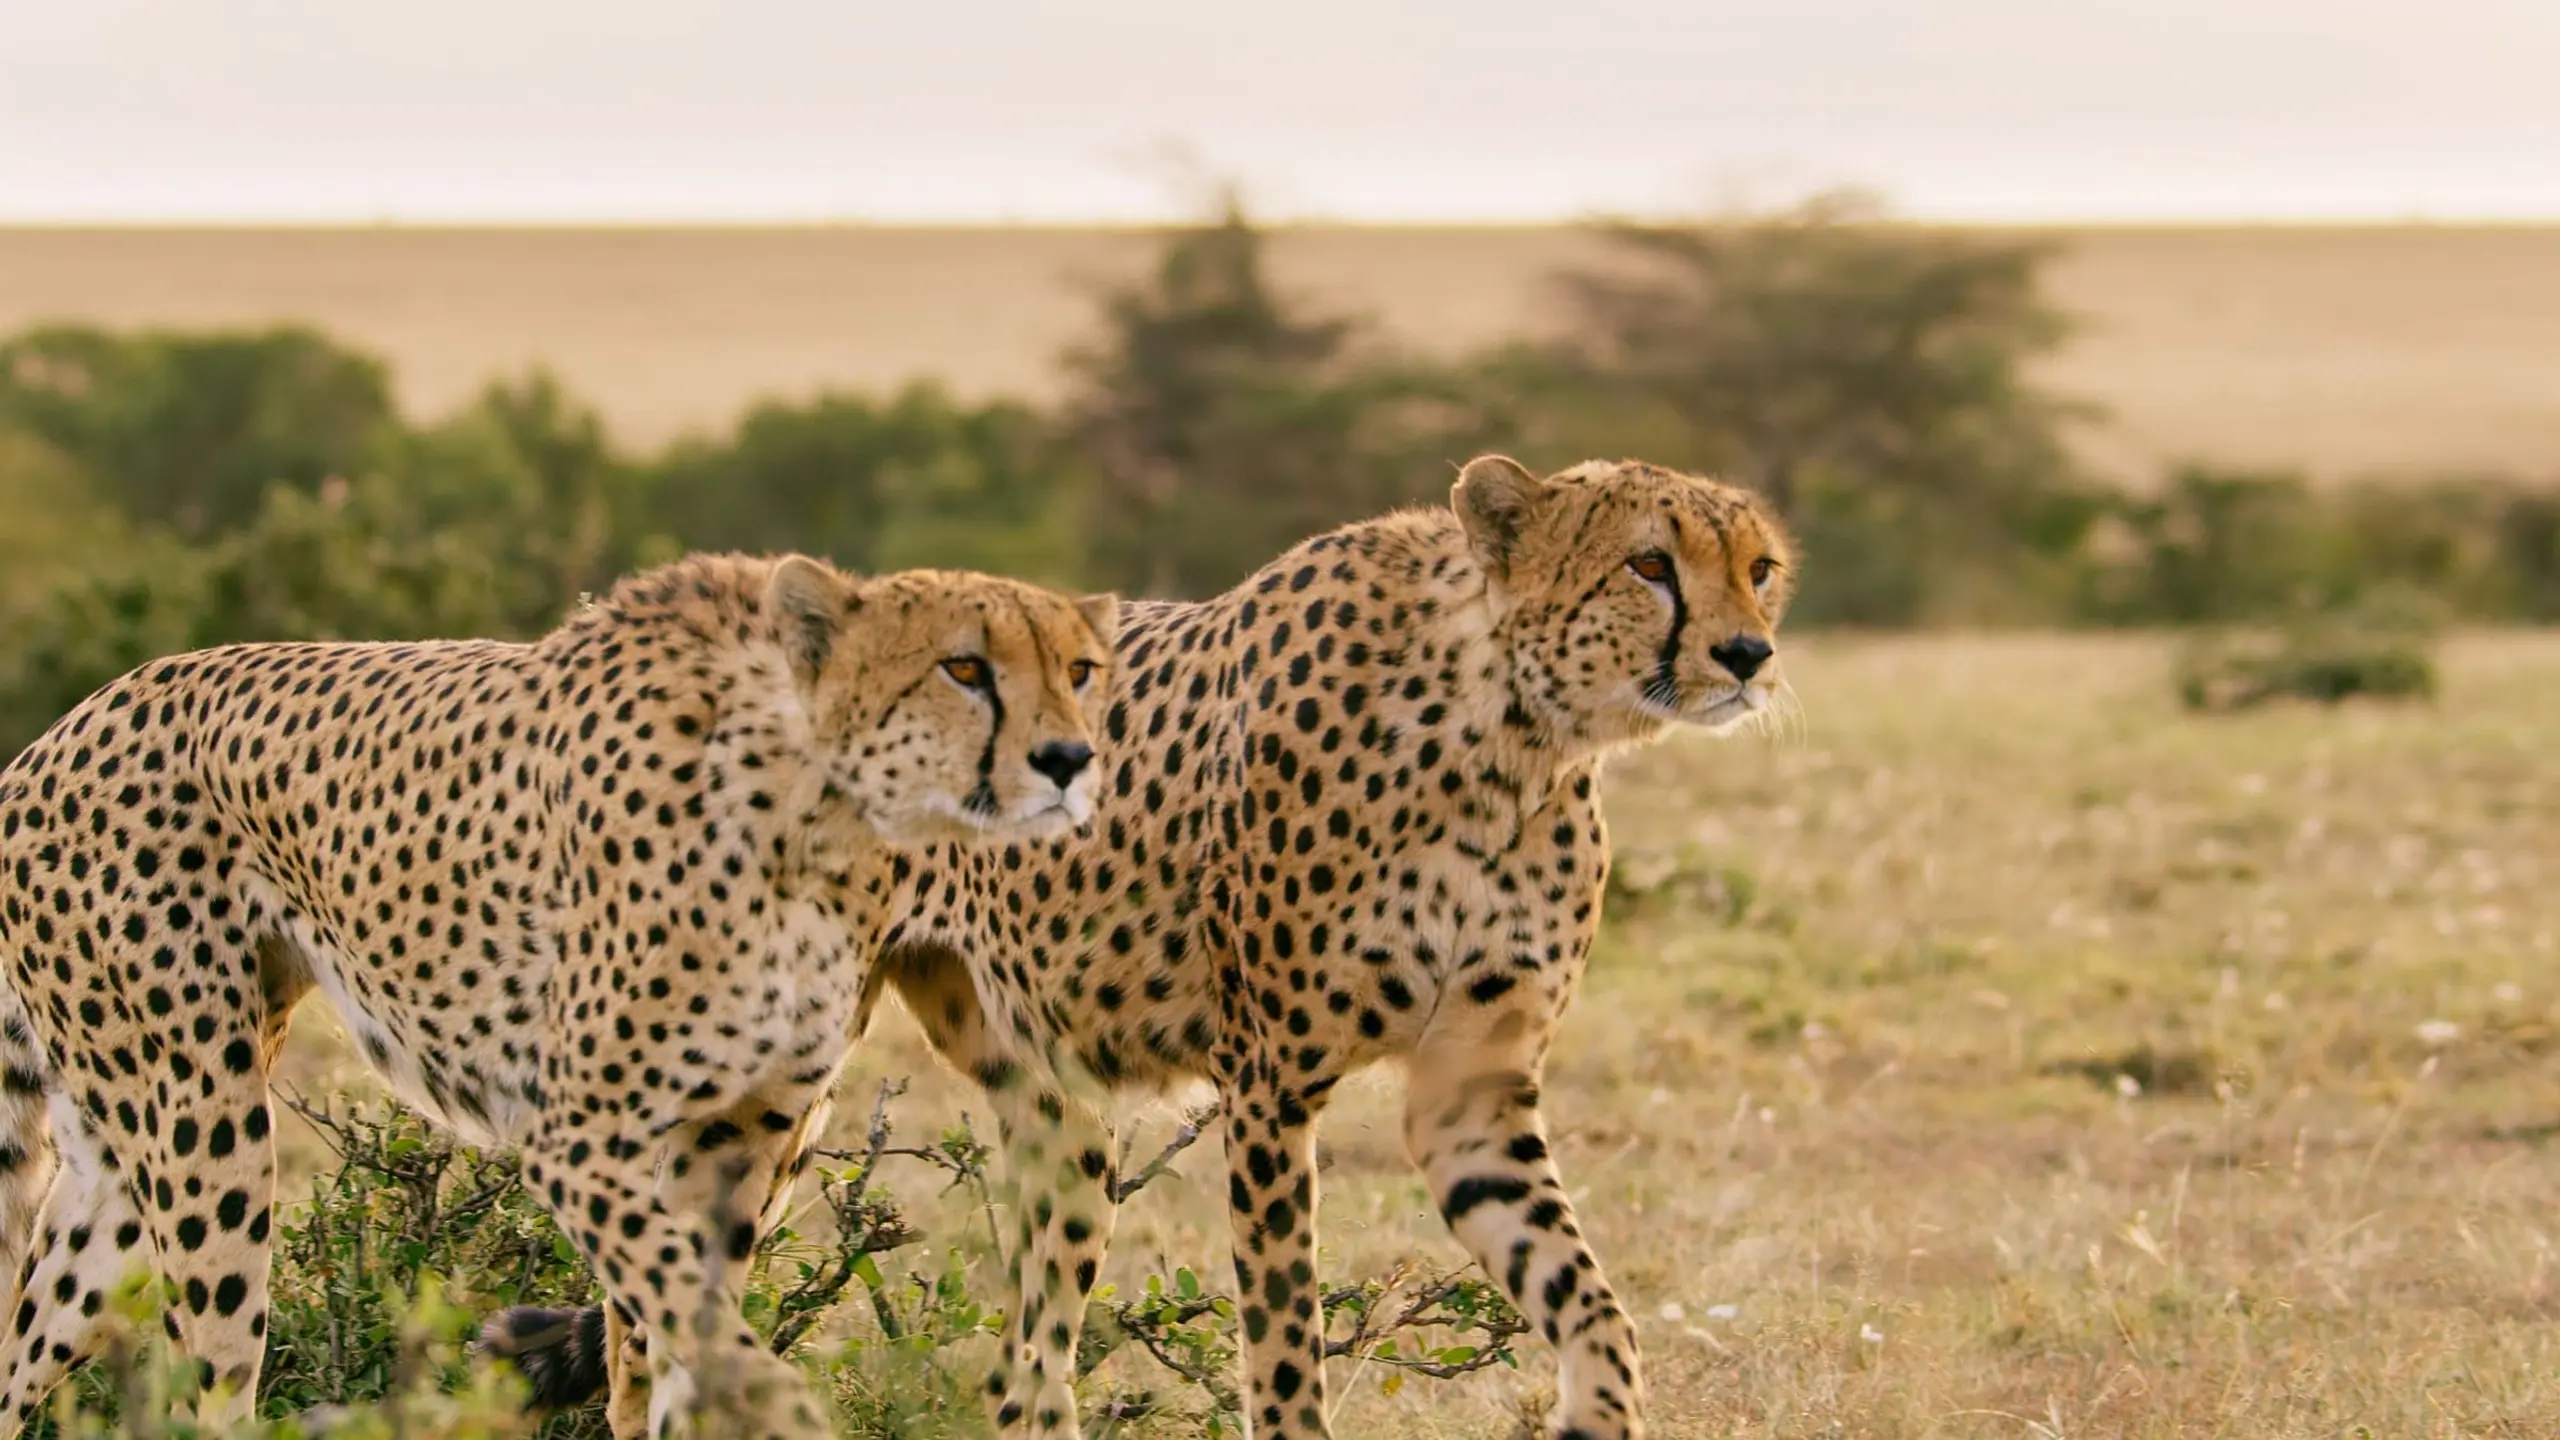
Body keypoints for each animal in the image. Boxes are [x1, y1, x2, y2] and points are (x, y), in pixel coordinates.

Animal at [0, 550, 1126, 1434]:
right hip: (203, 1121)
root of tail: (63, 729)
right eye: (964, 668)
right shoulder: (583, 1136)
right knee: (210, 1373)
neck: (816, 815)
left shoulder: (740, 1139)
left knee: (29, 1334)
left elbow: (682, 1348)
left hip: (125, 1143)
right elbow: (711, 1347)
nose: (1070, 759)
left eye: (1079, 671)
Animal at [504, 450, 1802, 1434]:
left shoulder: (1468, 1090)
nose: (1749, 655)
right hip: (769, 1092)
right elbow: (1282, 1336)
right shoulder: (1270, 1082)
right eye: (1648, 564)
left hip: (1054, 1119)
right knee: (642, 1335)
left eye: (1759, 568)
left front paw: (1599, 1410)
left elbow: (1590, 1301)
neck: (1511, 740)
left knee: (1027, 1373)